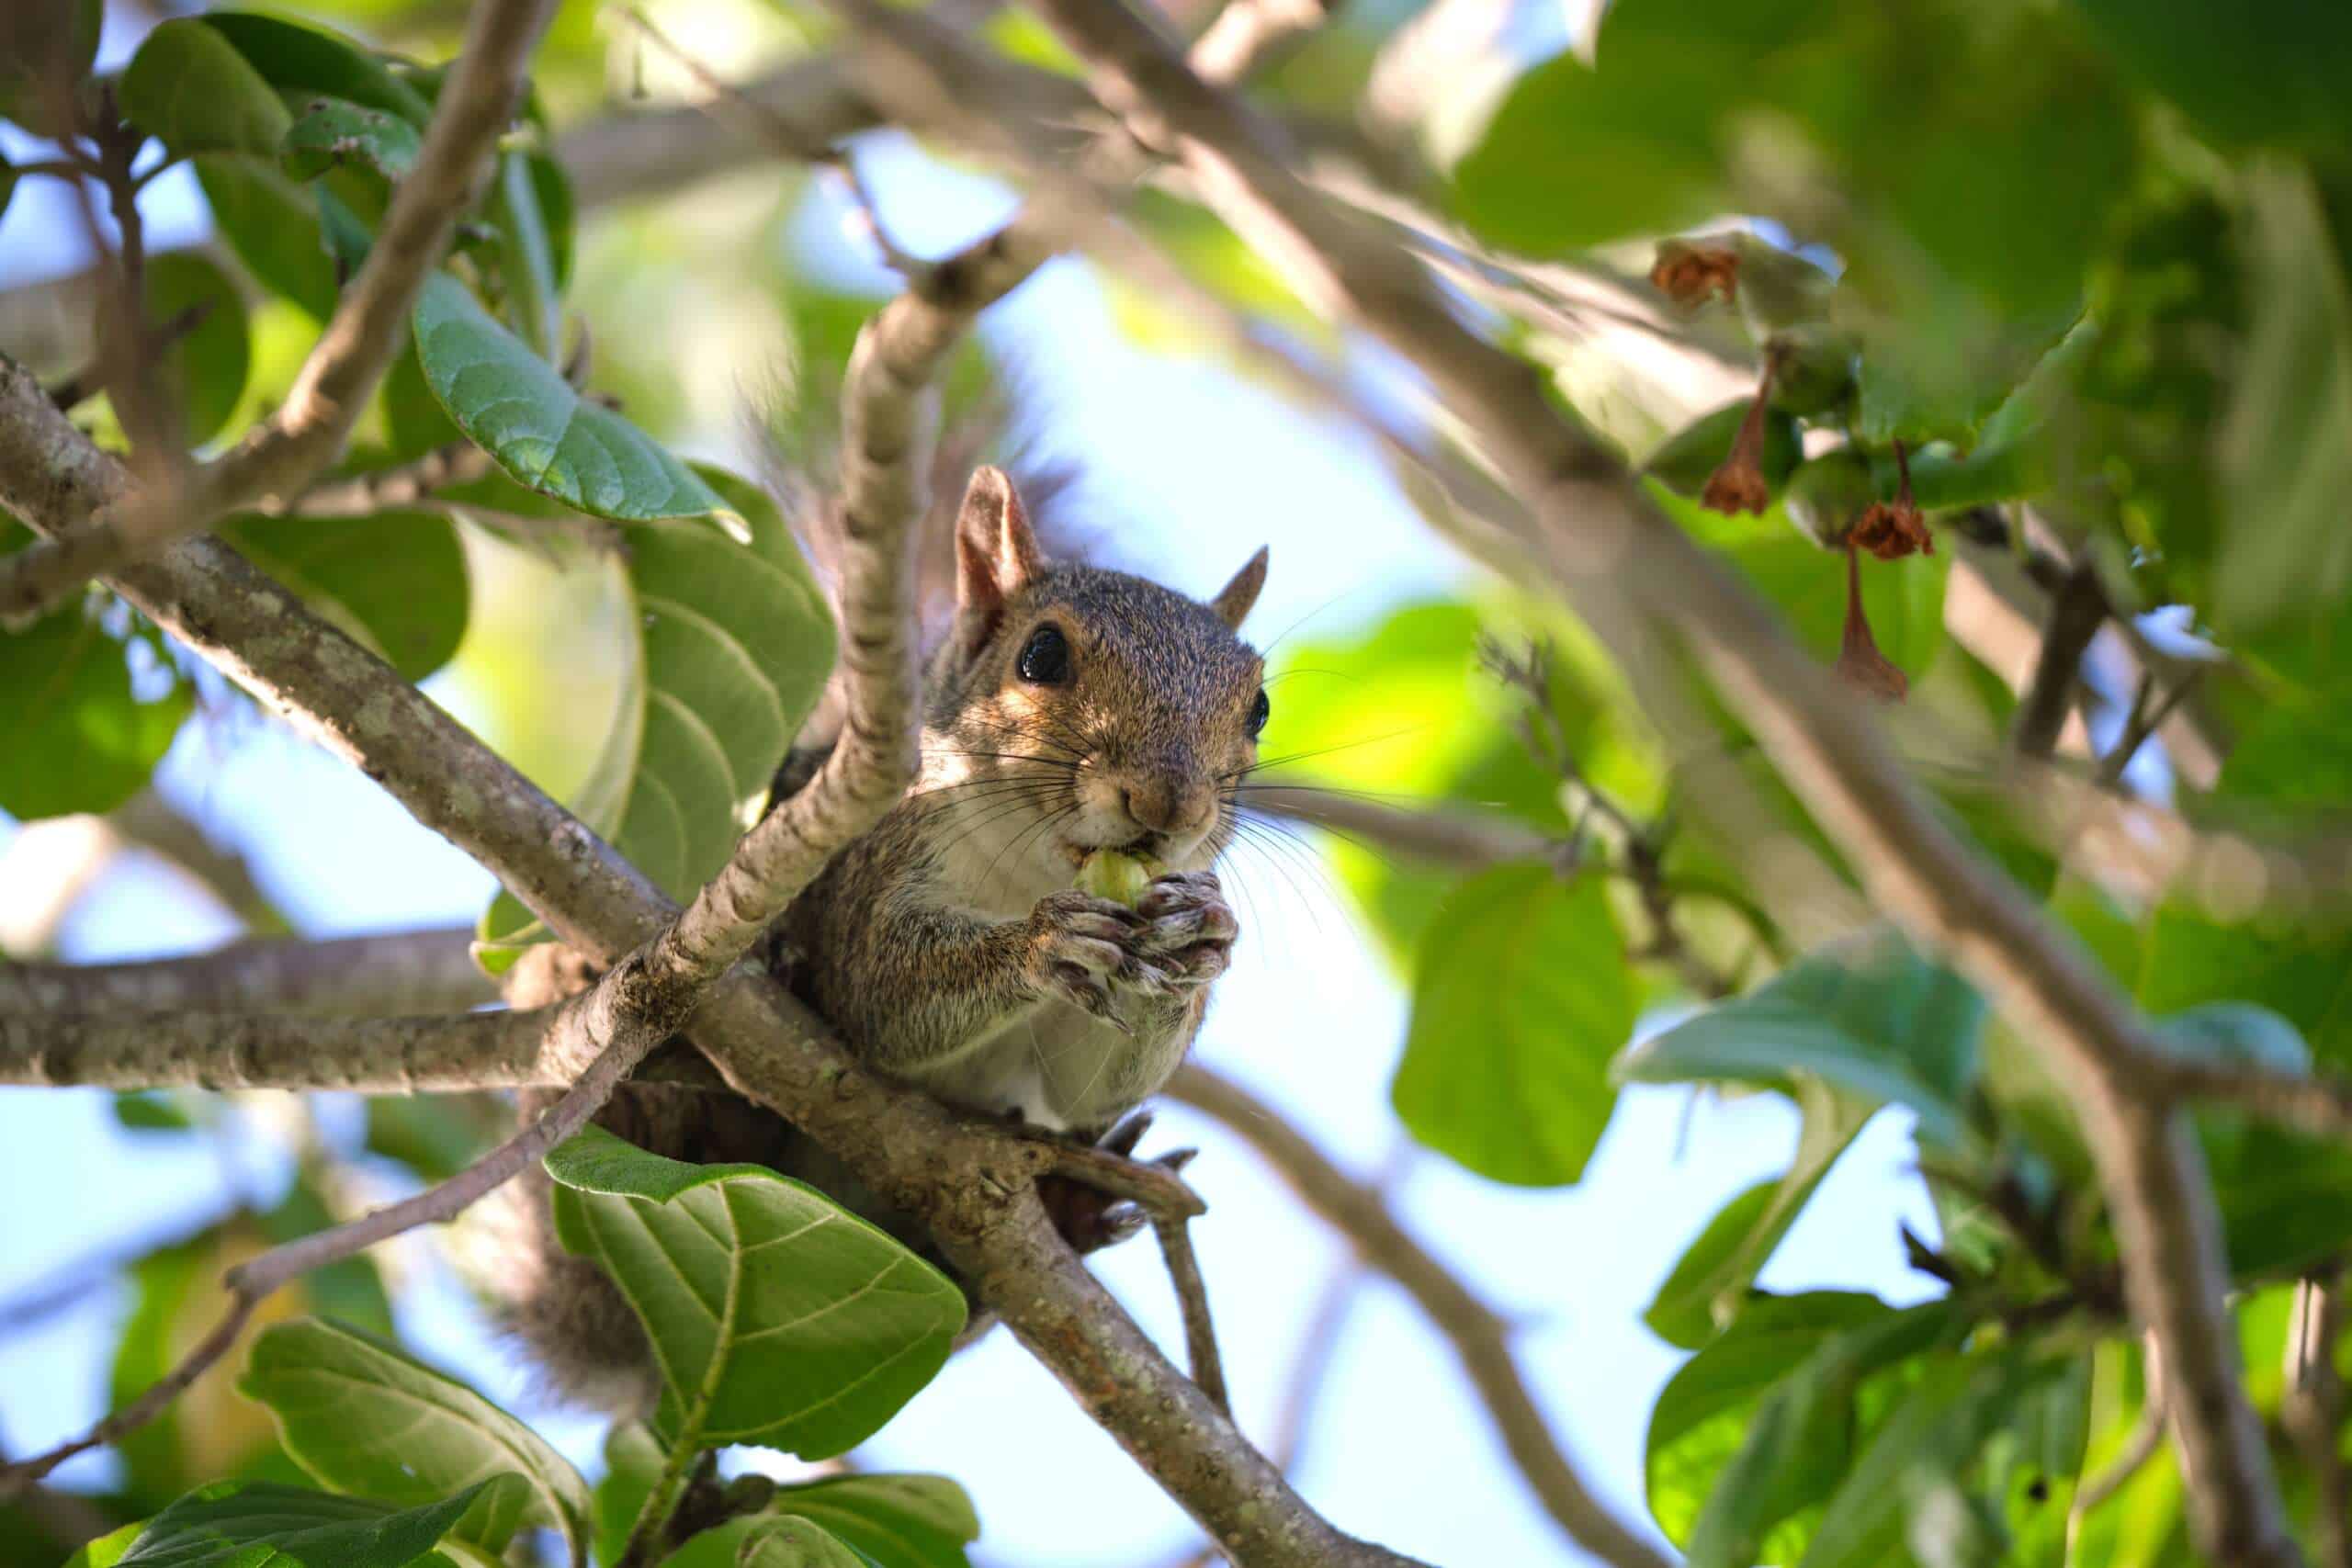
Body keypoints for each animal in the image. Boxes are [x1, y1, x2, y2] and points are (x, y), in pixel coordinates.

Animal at [488, 463, 1272, 1414]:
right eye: (1041, 655)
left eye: (1259, 707)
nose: (1168, 805)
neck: (1029, 869)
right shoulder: (871, 869)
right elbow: (878, 993)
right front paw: (1038, 946)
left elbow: (1087, 1083)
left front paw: (1204, 938)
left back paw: (1076, 1209)